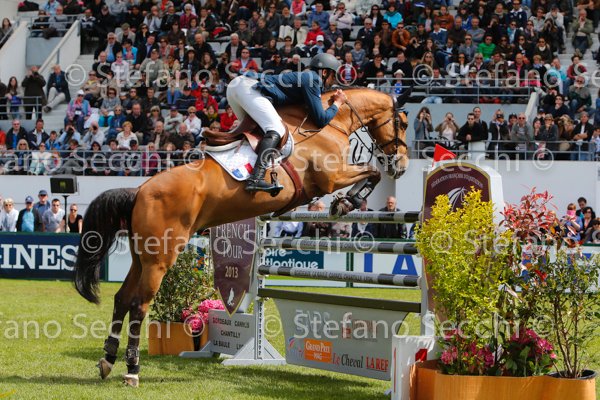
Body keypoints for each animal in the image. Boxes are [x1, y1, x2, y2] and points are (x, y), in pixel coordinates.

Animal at [73, 87, 410, 387]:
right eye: (403, 123)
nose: (402, 166)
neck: (328, 123)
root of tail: (139, 190)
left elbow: (370, 173)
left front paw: (345, 202)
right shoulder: (331, 177)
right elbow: (370, 172)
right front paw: (347, 201)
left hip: (140, 257)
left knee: (121, 298)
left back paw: (108, 359)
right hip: (159, 260)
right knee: (139, 305)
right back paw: (132, 370)